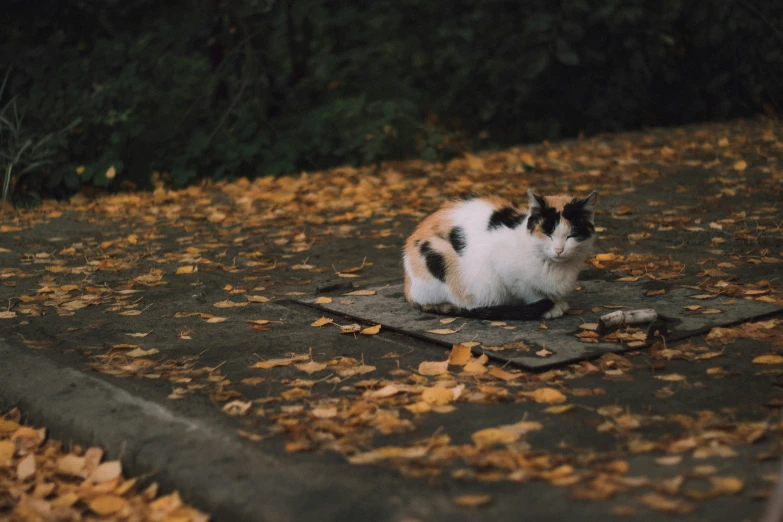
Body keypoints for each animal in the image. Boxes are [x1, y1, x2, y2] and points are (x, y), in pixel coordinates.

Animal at [408, 189, 596, 318]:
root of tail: (409, 293)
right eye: (547, 234)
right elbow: (530, 292)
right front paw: (550, 307)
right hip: (438, 258)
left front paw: (557, 302)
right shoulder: (505, 270)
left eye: (571, 235)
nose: (559, 250)